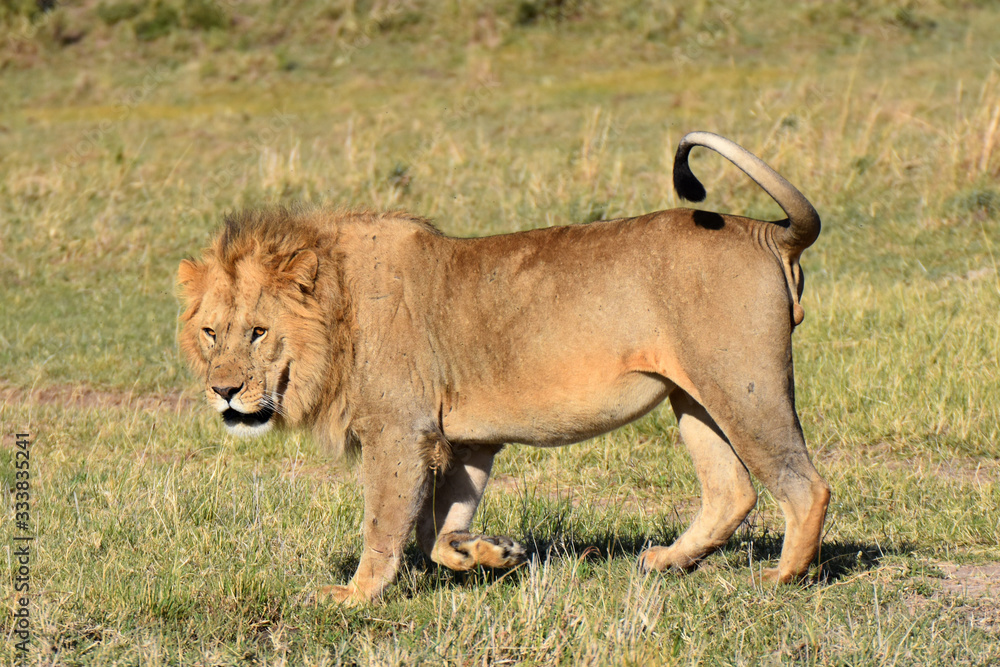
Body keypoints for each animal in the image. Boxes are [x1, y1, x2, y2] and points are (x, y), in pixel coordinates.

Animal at [177, 131, 831, 605]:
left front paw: (353, 596)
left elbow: (384, 524)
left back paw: (781, 580)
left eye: (258, 332)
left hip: (744, 387)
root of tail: (766, 232)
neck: (338, 311)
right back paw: (666, 561)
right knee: (731, 492)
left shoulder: (398, 430)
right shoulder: (467, 441)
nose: (224, 391)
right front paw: (491, 553)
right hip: (692, 396)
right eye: (210, 333)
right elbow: (438, 529)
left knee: (805, 485)